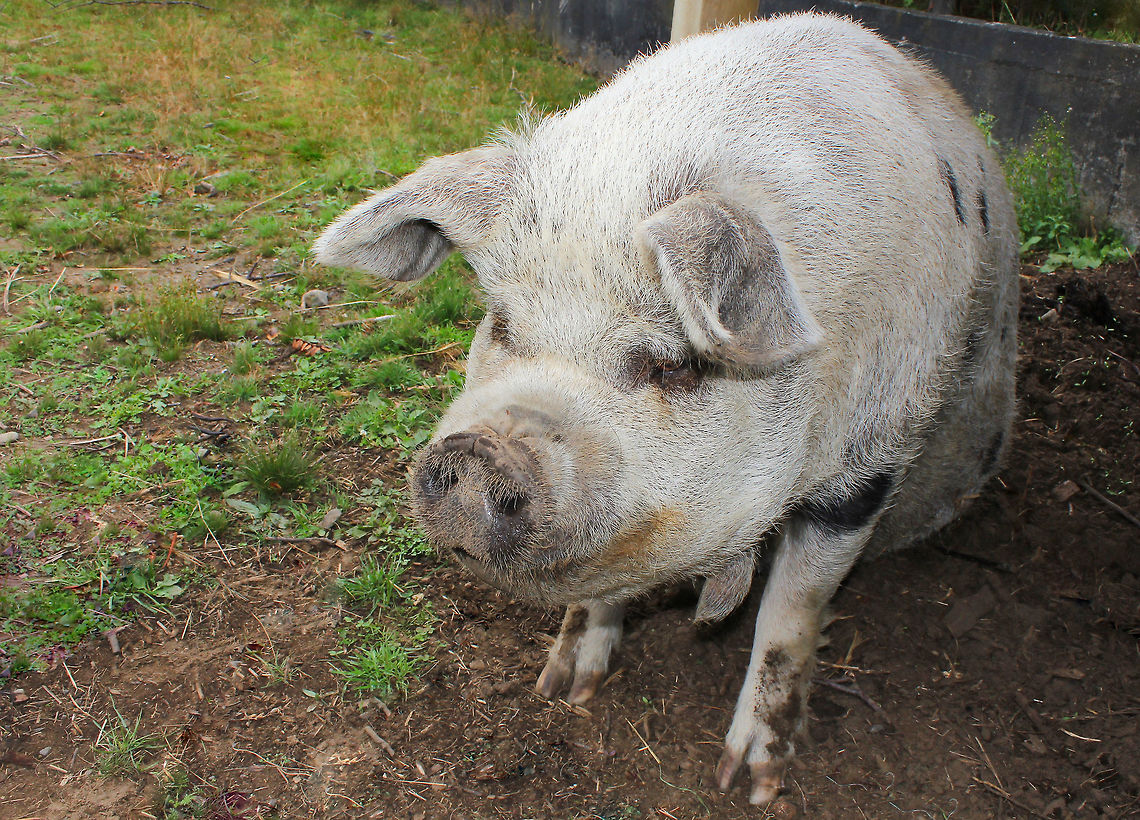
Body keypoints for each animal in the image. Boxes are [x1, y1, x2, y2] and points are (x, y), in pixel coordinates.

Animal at [314, 12, 1017, 806]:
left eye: (674, 364)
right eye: (502, 324)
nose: (476, 454)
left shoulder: (869, 465)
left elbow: (793, 613)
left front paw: (749, 784)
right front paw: (562, 688)